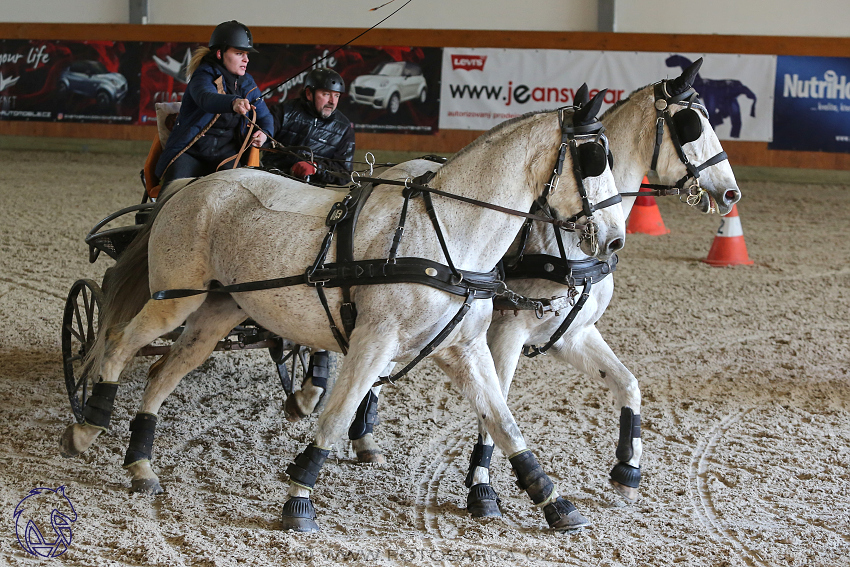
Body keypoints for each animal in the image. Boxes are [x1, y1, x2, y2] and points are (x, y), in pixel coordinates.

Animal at [56, 91, 620, 532]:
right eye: (594, 157)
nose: (614, 240)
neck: (448, 234)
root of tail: (187, 189)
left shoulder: (462, 347)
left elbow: (503, 422)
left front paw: (554, 501)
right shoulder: (374, 339)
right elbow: (337, 414)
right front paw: (299, 499)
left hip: (217, 311)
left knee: (161, 372)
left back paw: (141, 465)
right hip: (176, 298)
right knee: (117, 345)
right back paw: (89, 424)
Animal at [338, 61, 736, 516]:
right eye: (690, 125)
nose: (731, 193)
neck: (563, 240)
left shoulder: (572, 333)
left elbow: (628, 383)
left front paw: (627, 471)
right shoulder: (507, 333)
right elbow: (495, 410)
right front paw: (481, 488)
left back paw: (363, 435)